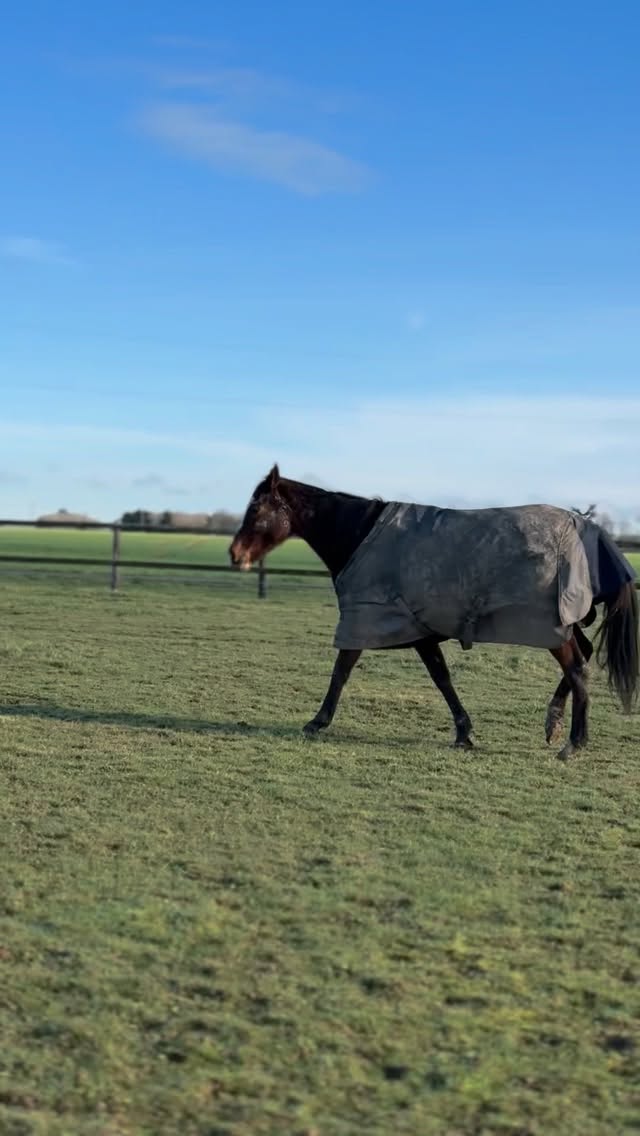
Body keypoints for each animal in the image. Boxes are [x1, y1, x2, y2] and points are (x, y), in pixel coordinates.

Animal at [229, 466, 638, 759]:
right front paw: (464, 732)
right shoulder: (415, 630)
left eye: (256, 508)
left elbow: (342, 671)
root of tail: (590, 530)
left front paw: (317, 722)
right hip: (564, 626)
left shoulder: (376, 622)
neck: (362, 536)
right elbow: (442, 678)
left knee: (578, 670)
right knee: (583, 657)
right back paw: (552, 724)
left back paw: (573, 743)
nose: (235, 555)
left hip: (552, 629)